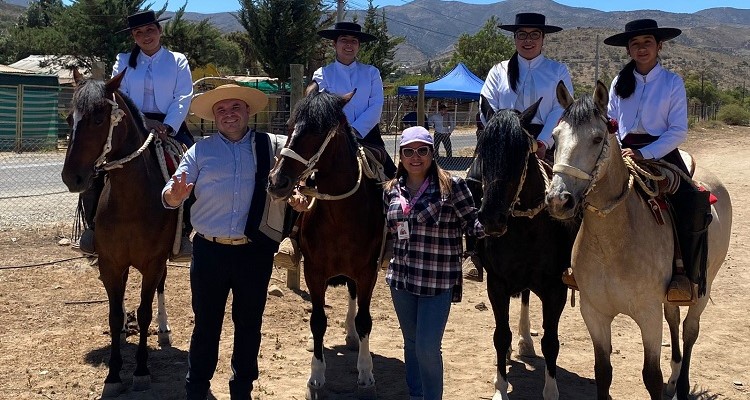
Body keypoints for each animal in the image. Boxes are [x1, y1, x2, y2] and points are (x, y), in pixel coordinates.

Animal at [61, 70, 177, 396]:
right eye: (69, 119)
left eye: (99, 119)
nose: (71, 177)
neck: (130, 202)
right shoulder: (110, 263)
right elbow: (113, 316)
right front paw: (113, 375)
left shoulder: (153, 263)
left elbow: (146, 310)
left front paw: (141, 371)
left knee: (161, 288)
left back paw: (163, 329)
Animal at [266, 86, 382, 398]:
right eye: (290, 126)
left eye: (317, 132)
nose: (277, 182)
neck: (341, 215)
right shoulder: (314, 271)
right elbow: (317, 321)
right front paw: (315, 376)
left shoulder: (367, 271)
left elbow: (365, 320)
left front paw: (366, 372)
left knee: (354, 300)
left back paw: (352, 336)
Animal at [472, 97, 580, 400]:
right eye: (482, 148)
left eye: (521, 152)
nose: (492, 219)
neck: (524, 228)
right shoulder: (496, 284)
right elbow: (500, 335)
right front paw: (500, 388)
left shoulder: (556, 289)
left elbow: (551, 341)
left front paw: (551, 391)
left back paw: (525, 342)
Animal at [548, 79, 736, 398]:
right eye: (555, 136)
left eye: (597, 139)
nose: (559, 200)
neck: (613, 242)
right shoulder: (594, 312)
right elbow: (603, 373)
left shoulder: (648, 315)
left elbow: (651, 377)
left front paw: (664, 382)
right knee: (674, 317)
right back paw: (674, 379)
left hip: (703, 286)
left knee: (690, 330)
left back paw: (682, 385)